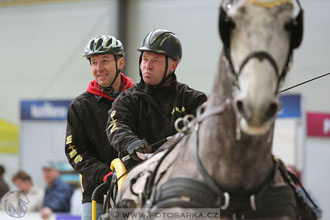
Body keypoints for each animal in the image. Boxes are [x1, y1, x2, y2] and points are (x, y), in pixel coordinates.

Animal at [111, 0, 318, 220]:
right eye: (230, 24)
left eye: (290, 26)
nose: (255, 105)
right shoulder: (123, 101)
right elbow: (119, 121)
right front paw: (137, 146)